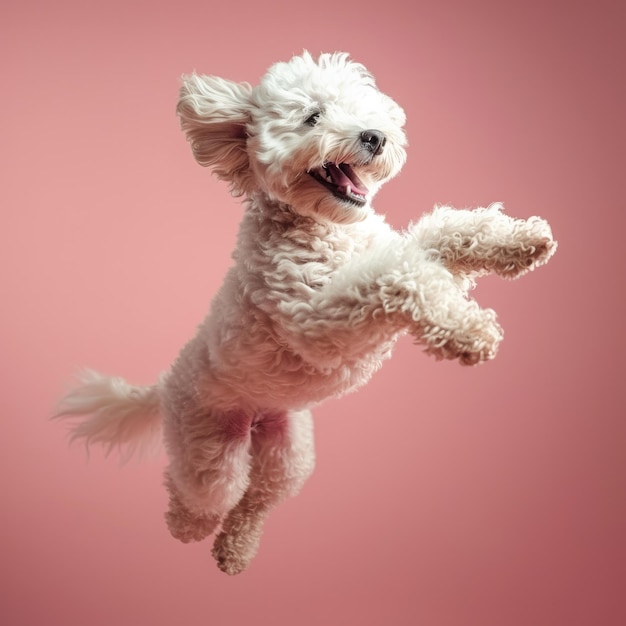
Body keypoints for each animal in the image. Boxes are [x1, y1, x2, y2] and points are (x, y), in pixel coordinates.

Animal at [53, 51, 556, 572]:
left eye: (362, 110)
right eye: (312, 117)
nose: (374, 136)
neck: (327, 227)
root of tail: (167, 381)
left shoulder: (393, 248)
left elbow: (445, 232)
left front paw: (520, 240)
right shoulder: (315, 317)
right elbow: (398, 276)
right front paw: (469, 331)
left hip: (288, 452)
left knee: (257, 500)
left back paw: (234, 551)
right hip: (208, 443)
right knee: (201, 491)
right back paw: (185, 524)